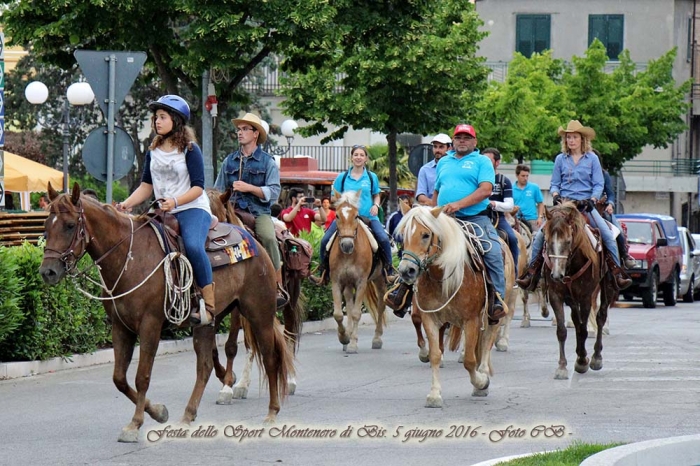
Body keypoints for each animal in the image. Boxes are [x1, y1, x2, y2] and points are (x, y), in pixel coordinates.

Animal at [40, 184, 292, 442]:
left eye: (70, 225)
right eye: (46, 225)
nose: (48, 271)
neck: (129, 258)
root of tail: (255, 243)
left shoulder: (149, 325)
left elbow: (142, 376)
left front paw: (135, 424)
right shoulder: (120, 327)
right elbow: (119, 379)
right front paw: (158, 412)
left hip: (258, 313)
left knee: (270, 358)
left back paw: (271, 412)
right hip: (209, 322)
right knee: (204, 366)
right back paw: (188, 415)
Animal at [205, 187, 304, 398]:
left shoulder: (235, 310)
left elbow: (230, 346)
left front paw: (226, 386)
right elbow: (213, 348)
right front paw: (227, 377)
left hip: (289, 302)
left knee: (289, 334)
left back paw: (291, 381)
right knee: (253, 343)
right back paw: (242, 384)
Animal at [330, 189, 386, 354]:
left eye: (356, 216)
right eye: (337, 215)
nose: (347, 245)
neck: (349, 255)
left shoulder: (361, 282)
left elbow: (356, 313)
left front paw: (353, 344)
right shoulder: (336, 281)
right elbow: (338, 314)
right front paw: (344, 337)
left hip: (379, 278)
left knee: (381, 304)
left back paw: (377, 338)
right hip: (348, 283)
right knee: (349, 302)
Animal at [396, 208, 506, 408]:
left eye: (425, 235)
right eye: (403, 236)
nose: (406, 271)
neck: (441, 277)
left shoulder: (471, 319)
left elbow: (470, 360)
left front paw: (481, 382)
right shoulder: (429, 318)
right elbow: (435, 355)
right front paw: (434, 395)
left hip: (494, 312)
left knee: (487, 341)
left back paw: (483, 377)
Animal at [544, 202, 616, 380]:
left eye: (568, 241)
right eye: (547, 240)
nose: (557, 274)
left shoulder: (585, 297)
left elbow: (583, 330)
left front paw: (582, 361)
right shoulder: (556, 295)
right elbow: (562, 330)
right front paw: (562, 367)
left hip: (606, 288)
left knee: (600, 317)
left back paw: (596, 357)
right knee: (577, 321)